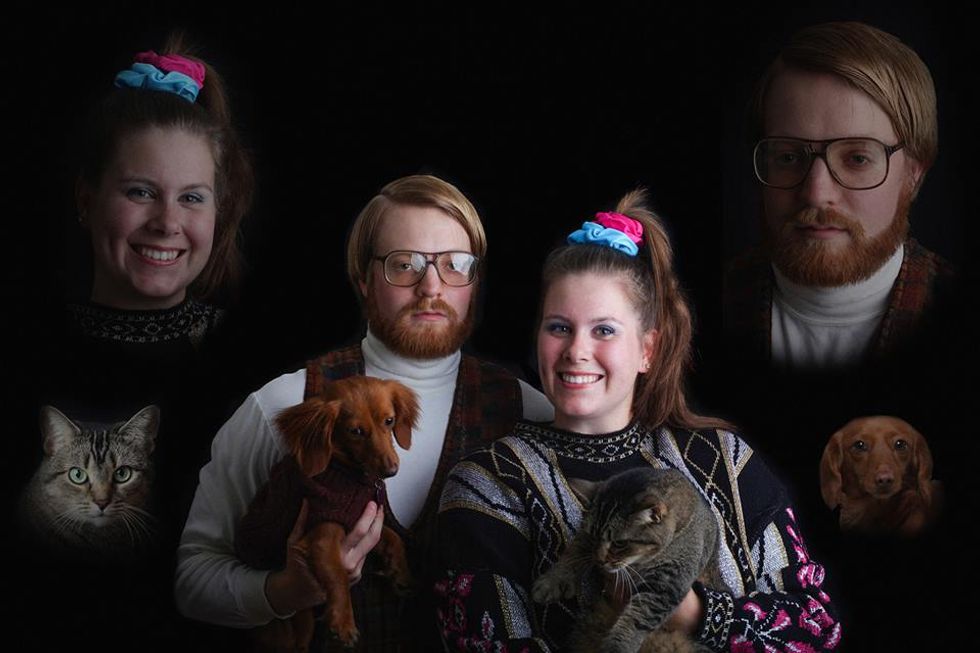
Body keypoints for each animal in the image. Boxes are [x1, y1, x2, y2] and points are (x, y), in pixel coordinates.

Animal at [236, 375, 420, 651]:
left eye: (389, 421)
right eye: (356, 431)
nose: (391, 471)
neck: (345, 470)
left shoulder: (357, 518)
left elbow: (392, 537)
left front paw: (401, 572)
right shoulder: (323, 530)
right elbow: (337, 574)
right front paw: (343, 622)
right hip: (291, 626)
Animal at [532, 467, 721, 653]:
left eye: (619, 543)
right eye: (594, 536)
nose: (600, 560)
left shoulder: (667, 582)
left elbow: (635, 621)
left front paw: (617, 646)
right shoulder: (584, 538)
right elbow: (574, 553)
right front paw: (551, 581)